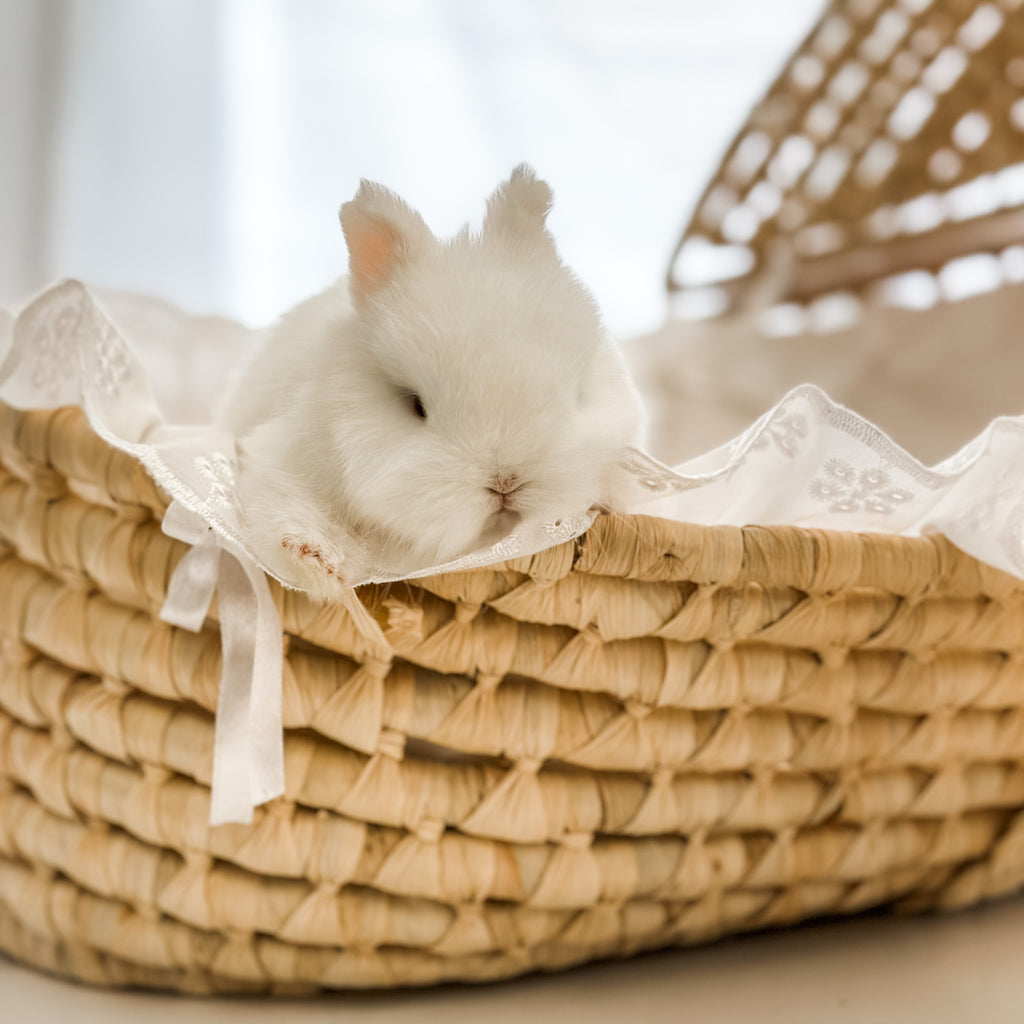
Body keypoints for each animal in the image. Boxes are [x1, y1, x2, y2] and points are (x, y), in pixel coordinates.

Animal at [223, 164, 645, 600]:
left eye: (578, 392)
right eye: (415, 406)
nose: (506, 485)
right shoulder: (278, 460)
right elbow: (286, 509)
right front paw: (318, 564)